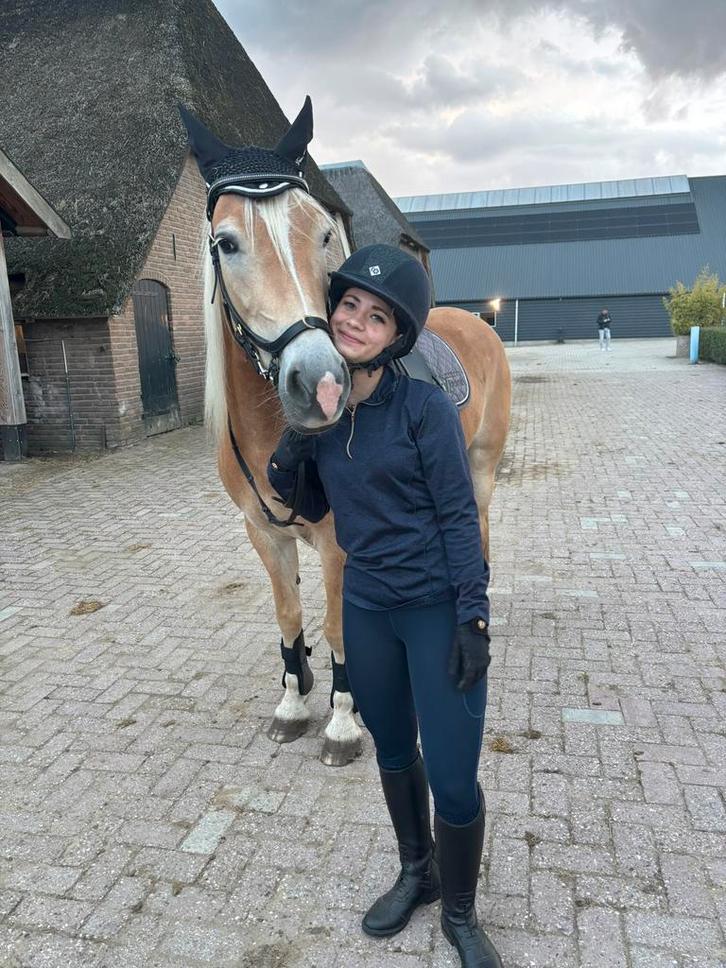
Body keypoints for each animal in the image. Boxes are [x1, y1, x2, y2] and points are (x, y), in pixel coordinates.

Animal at [181, 101, 511, 767]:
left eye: (324, 232)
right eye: (226, 243)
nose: (321, 382)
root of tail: (477, 322)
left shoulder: (339, 544)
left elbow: (336, 628)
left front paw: (341, 719)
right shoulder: (264, 534)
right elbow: (289, 617)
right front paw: (292, 701)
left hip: (481, 469)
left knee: (479, 534)